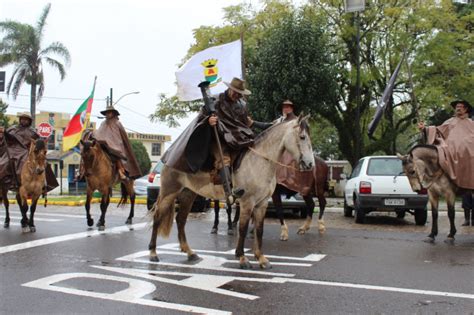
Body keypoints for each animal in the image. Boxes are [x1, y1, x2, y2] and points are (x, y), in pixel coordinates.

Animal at [148, 115, 314, 270]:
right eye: (302, 137)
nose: (310, 164)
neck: (259, 161)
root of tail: (168, 158)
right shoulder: (247, 202)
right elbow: (243, 228)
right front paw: (242, 258)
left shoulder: (262, 204)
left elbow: (259, 230)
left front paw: (261, 258)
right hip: (169, 192)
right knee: (157, 217)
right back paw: (153, 253)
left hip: (188, 194)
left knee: (181, 219)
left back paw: (189, 252)